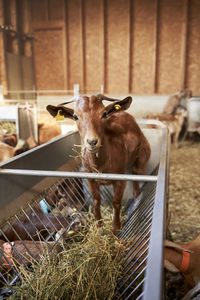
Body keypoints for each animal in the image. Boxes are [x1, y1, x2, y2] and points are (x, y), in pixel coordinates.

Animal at [46, 94, 150, 234]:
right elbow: (96, 200)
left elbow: (116, 202)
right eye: (75, 116)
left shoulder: (120, 179)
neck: (101, 164)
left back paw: (136, 196)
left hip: (142, 156)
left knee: (136, 176)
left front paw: (115, 228)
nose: (92, 141)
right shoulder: (90, 178)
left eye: (104, 114)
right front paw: (99, 225)